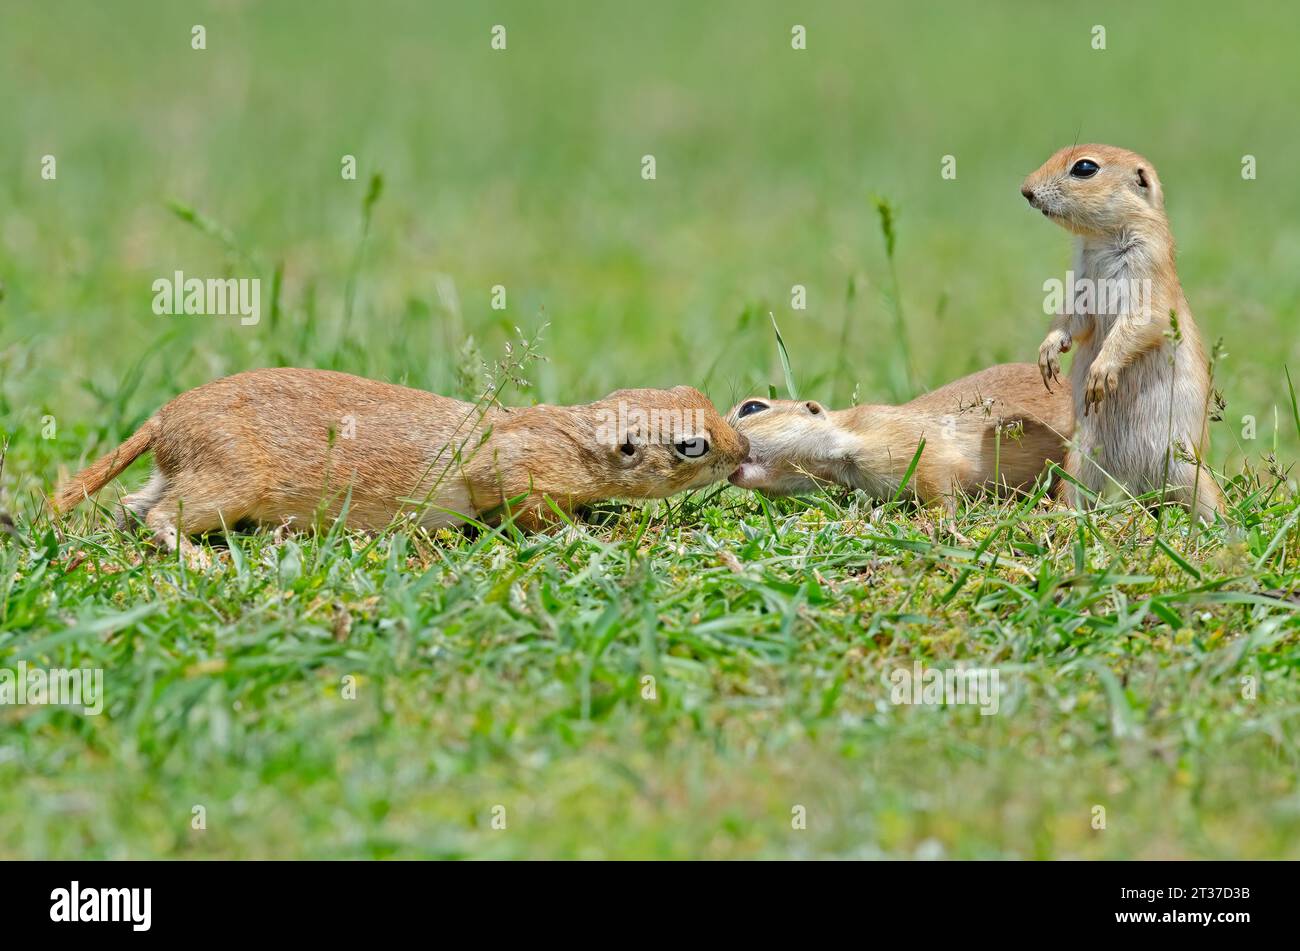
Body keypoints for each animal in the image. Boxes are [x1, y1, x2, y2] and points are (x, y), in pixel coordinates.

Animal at [1019, 144, 1222, 524]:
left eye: (1084, 168)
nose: (1026, 190)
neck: (1100, 239)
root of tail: (1139, 491)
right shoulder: (1080, 282)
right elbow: (1074, 318)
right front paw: (1048, 354)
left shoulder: (1147, 270)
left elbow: (1141, 321)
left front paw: (1100, 374)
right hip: (1080, 461)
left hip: (1190, 472)